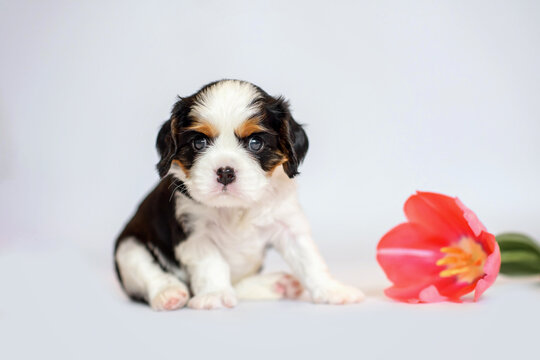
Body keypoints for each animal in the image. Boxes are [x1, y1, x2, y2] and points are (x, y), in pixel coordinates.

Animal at [115, 80, 364, 310]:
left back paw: (276, 285)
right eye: (199, 142)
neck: (235, 207)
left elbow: (309, 260)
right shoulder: (195, 232)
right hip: (128, 248)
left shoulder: (288, 224)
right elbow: (211, 264)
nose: (225, 172)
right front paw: (214, 294)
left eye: (255, 143)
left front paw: (332, 289)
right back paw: (169, 293)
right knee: (148, 272)